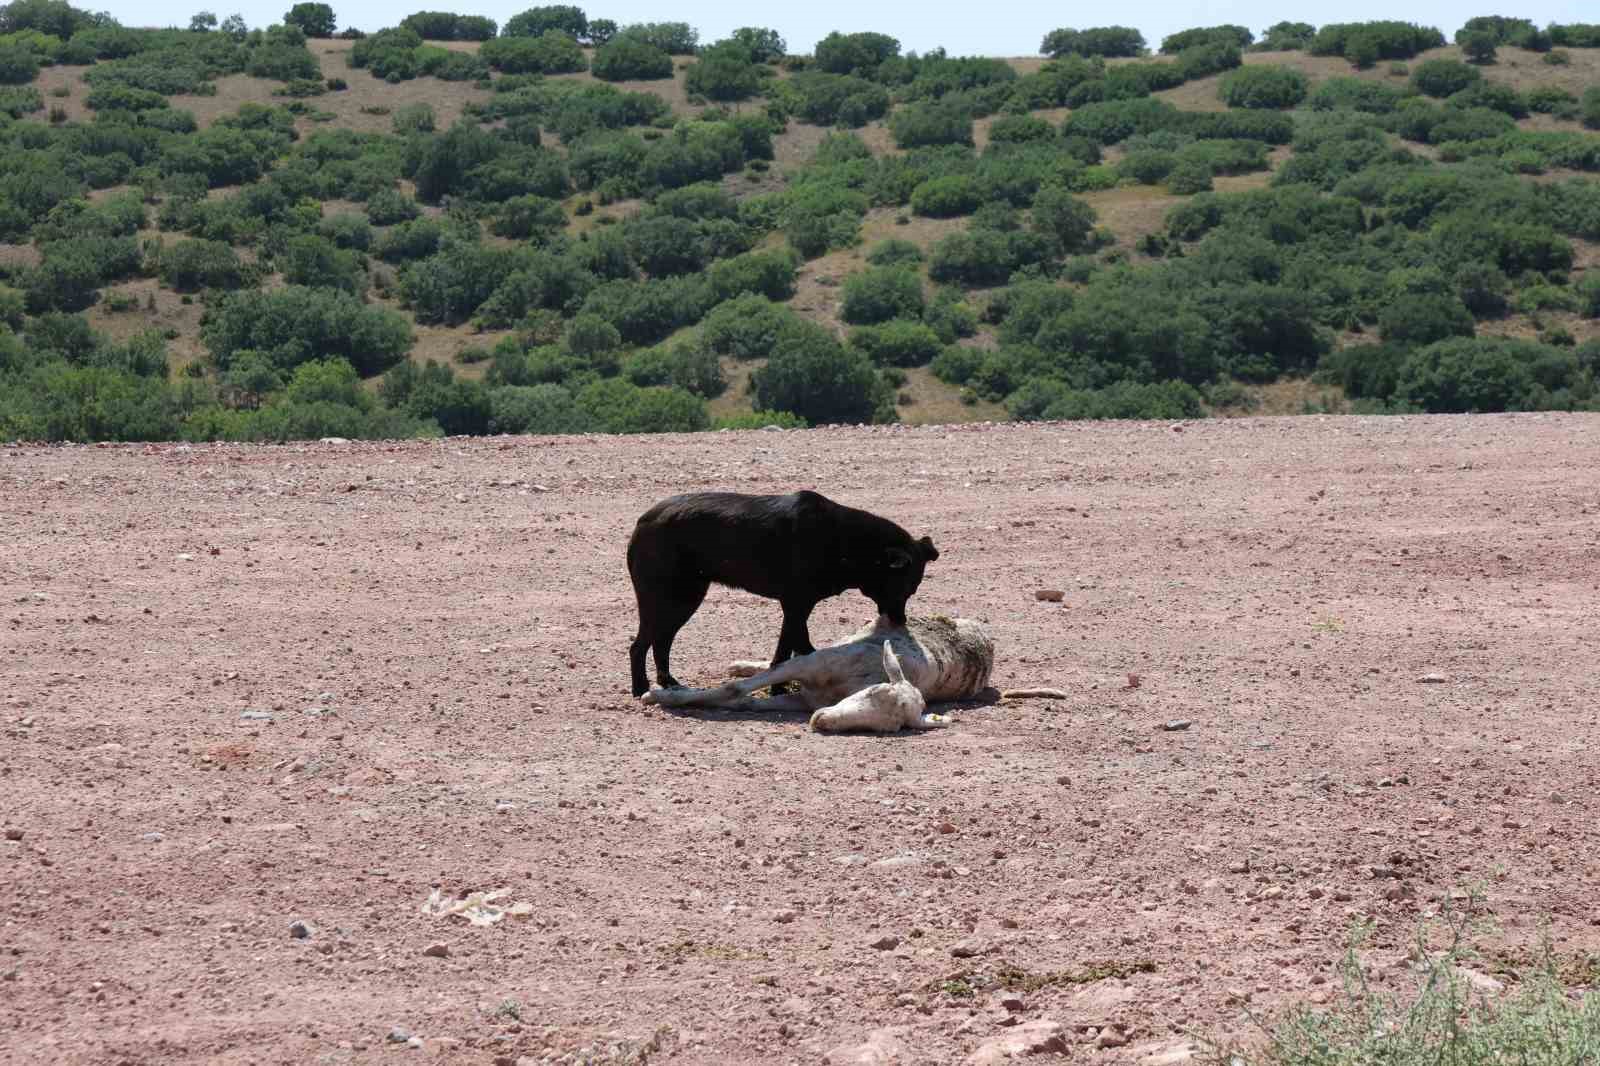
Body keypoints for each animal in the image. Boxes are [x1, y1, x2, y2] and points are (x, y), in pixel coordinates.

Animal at [633, 614, 985, 729]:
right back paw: (741, 665)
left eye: (888, 728)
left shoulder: (804, 701)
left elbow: (744, 701)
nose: (821, 722)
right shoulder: (810, 664)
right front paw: (660, 696)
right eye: (874, 693)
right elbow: (737, 688)